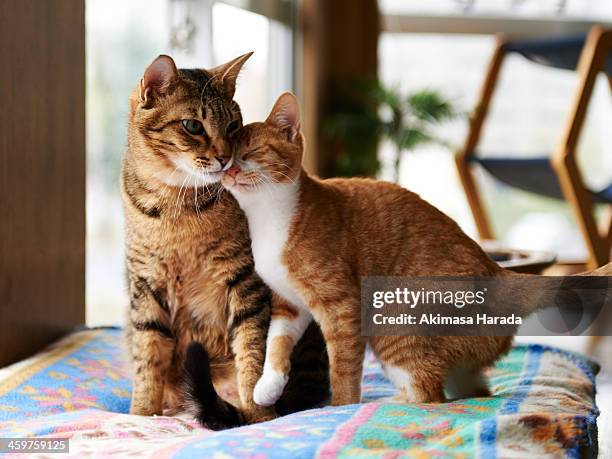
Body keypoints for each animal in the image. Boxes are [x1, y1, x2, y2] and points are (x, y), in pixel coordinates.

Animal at [121, 56, 328, 428]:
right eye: (192, 125)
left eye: (233, 126)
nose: (224, 158)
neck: (176, 203)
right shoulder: (145, 284)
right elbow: (148, 357)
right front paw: (142, 414)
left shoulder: (246, 279)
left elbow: (252, 352)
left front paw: (259, 416)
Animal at [221, 91, 612, 408]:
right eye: (226, 156)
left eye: (249, 152)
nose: (228, 169)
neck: (267, 217)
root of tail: (498, 272)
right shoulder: (290, 304)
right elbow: (276, 344)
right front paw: (266, 387)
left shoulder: (341, 306)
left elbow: (343, 370)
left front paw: (340, 408)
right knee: (472, 390)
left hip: (394, 323)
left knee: (429, 395)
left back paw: (392, 405)